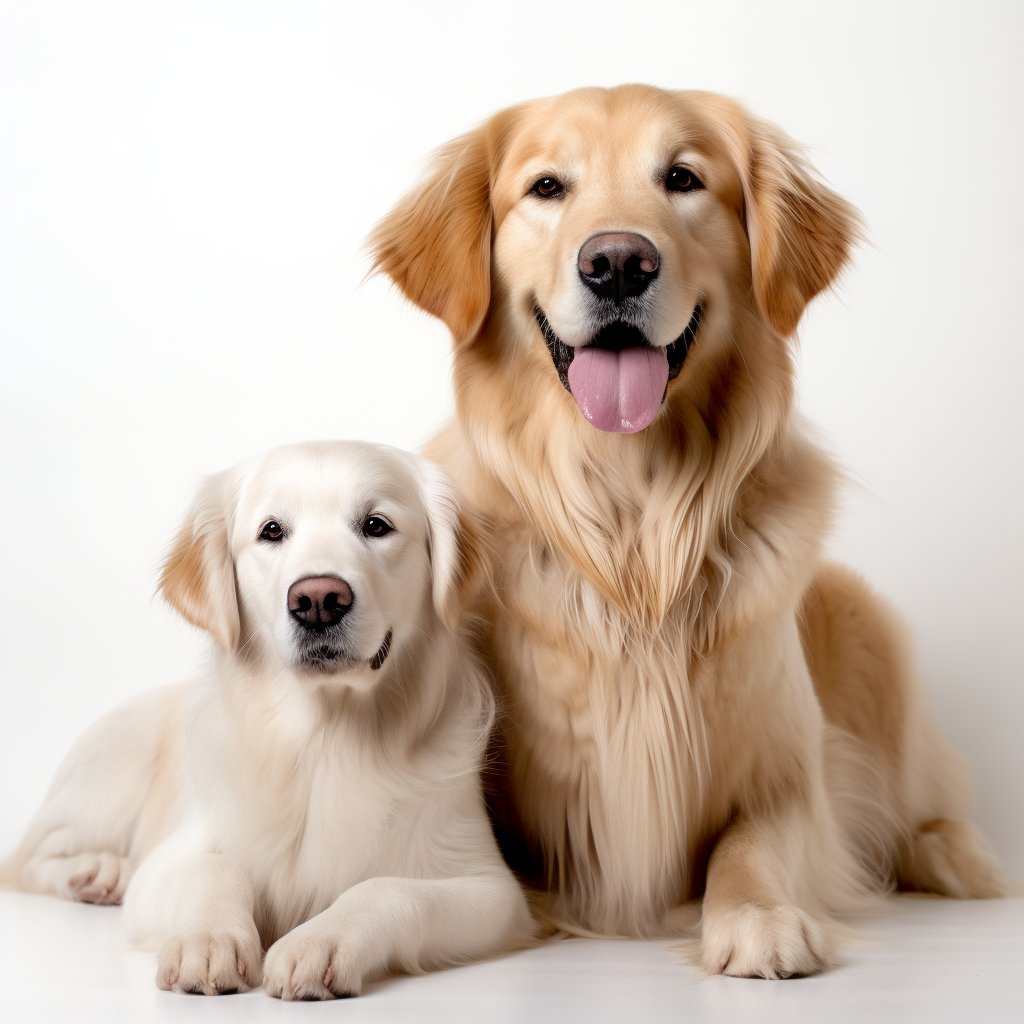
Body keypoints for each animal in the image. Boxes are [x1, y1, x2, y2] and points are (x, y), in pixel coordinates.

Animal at [0, 442, 528, 999]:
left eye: (376, 525)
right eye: (271, 531)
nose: (318, 600)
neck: (326, 735)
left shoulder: (490, 889)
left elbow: (386, 888)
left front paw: (322, 940)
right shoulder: (163, 866)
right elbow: (214, 867)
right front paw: (208, 939)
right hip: (110, 770)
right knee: (30, 859)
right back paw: (97, 871)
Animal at [370, 86, 1007, 974]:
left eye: (682, 178)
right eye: (546, 187)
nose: (617, 263)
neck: (634, 522)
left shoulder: (790, 773)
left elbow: (752, 841)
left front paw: (758, 918)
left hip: (870, 628)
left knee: (925, 805)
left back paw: (956, 854)